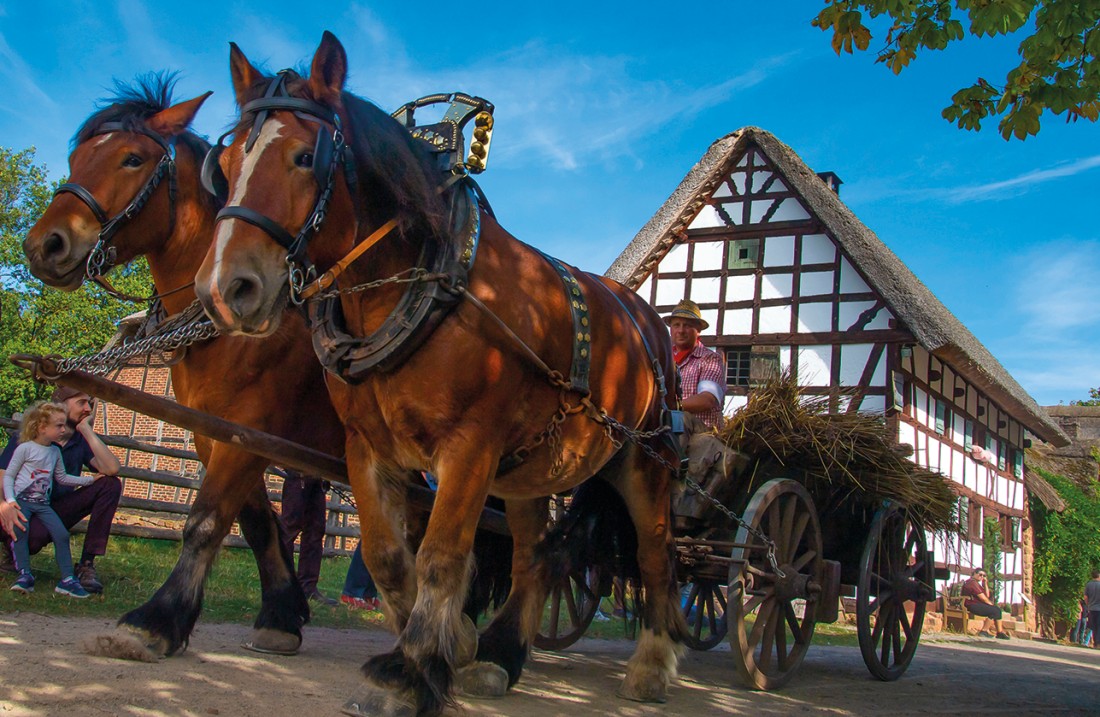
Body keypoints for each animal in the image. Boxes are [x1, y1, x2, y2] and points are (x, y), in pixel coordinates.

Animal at [22, 75, 343, 659]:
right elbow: (256, 522)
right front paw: (283, 614)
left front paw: (157, 619)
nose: (45, 245)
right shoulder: (217, 430)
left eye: (131, 159)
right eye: (76, 157)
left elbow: (206, 521)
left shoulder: (252, 426)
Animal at [193, 35, 682, 717]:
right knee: (534, 557)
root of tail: (647, 318)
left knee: (656, 555)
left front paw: (408, 671)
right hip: (529, 473)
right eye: (227, 160)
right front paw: (446, 650)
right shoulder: (368, 448)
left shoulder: (469, 448)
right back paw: (500, 658)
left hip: (644, 461)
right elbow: (387, 559)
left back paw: (653, 666)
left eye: (304, 156)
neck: (424, 285)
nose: (224, 288)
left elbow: (442, 558)